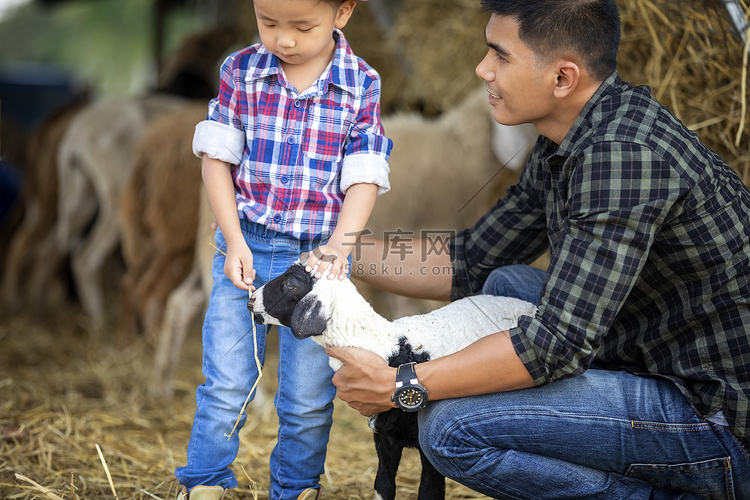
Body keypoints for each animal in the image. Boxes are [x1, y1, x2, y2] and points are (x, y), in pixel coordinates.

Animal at [250, 262, 536, 500]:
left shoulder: (427, 452)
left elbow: (429, 491)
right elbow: (383, 485)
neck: (387, 347)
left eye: (290, 284)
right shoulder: (385, 436)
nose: (251, 300)